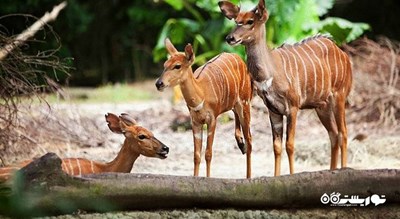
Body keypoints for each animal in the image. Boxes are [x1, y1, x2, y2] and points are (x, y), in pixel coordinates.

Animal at [155, 37, 253, 178]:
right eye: (164, 65)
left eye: (177, 66)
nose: (159, 84)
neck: (201, 93)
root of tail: (238, 58)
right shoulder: (195, 122)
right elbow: (196, 155)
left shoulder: (212, 120)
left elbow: (208, 153)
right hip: (235, 103)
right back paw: (241, 144)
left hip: (245, 102)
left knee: (249, 139)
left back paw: (248, 175)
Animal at [219, 0, 354, 175]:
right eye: (236, 21)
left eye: (250, 21)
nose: (230, 38)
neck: (269, 73)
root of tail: (343, 54)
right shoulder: (273, 110)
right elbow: (276, 147)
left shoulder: (293, 107)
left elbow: (289, 145)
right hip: (321, 106)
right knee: (334, 134)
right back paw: (332, 171)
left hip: (339, 96)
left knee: (343, 133)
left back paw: (343, 169)